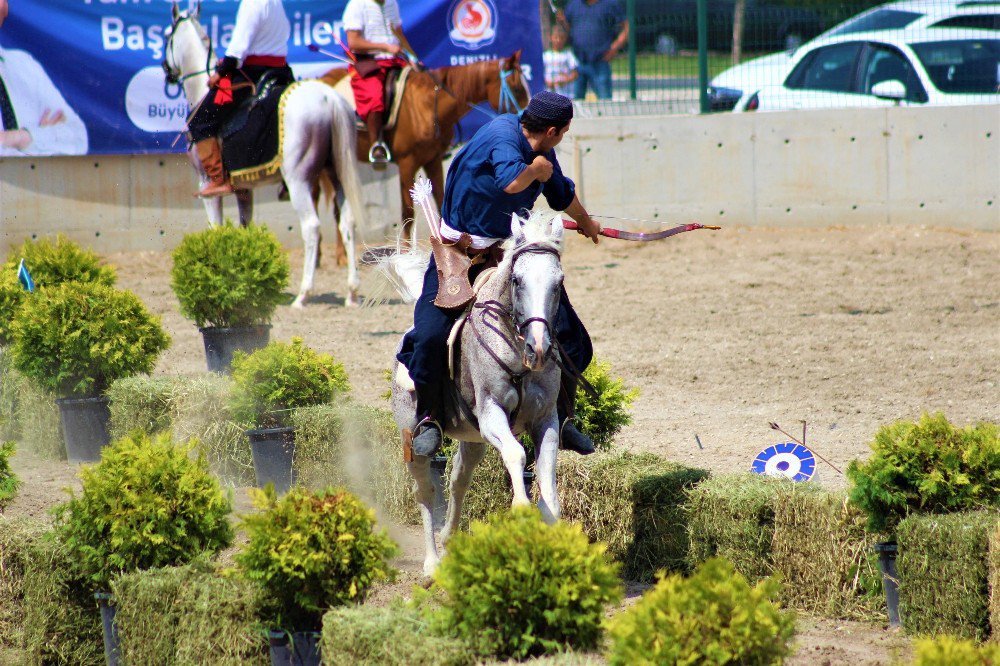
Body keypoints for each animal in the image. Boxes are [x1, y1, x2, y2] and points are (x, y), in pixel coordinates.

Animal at [164, 3, 368, 306]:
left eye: (168, 35)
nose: (167, 72)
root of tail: (328, 98)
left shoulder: (207, 186)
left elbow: (216, 229)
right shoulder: (243, 189)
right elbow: (245, 227)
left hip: (298, 182)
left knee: (311, 227)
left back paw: (303, 294)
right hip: (336, 174)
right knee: (347, 223)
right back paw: (352, 292)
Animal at [324, 52, 536, 239]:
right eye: (518, 89)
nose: (527, 120)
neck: (424, 105)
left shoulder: (432, 160)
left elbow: (442, 203)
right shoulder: (407, 164)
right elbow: (407, 213)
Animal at [384, 210, 568, 572]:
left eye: (559, 282)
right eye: (517, 280)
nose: (539, 348)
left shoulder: (545, 420)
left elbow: (547, 479)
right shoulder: (491, 413)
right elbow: (517, 454)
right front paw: (521, 509)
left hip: (473, 441)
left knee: (457, 481)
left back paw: (449, 539)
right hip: (413, 439)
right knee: (426, 491)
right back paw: (432, 561)